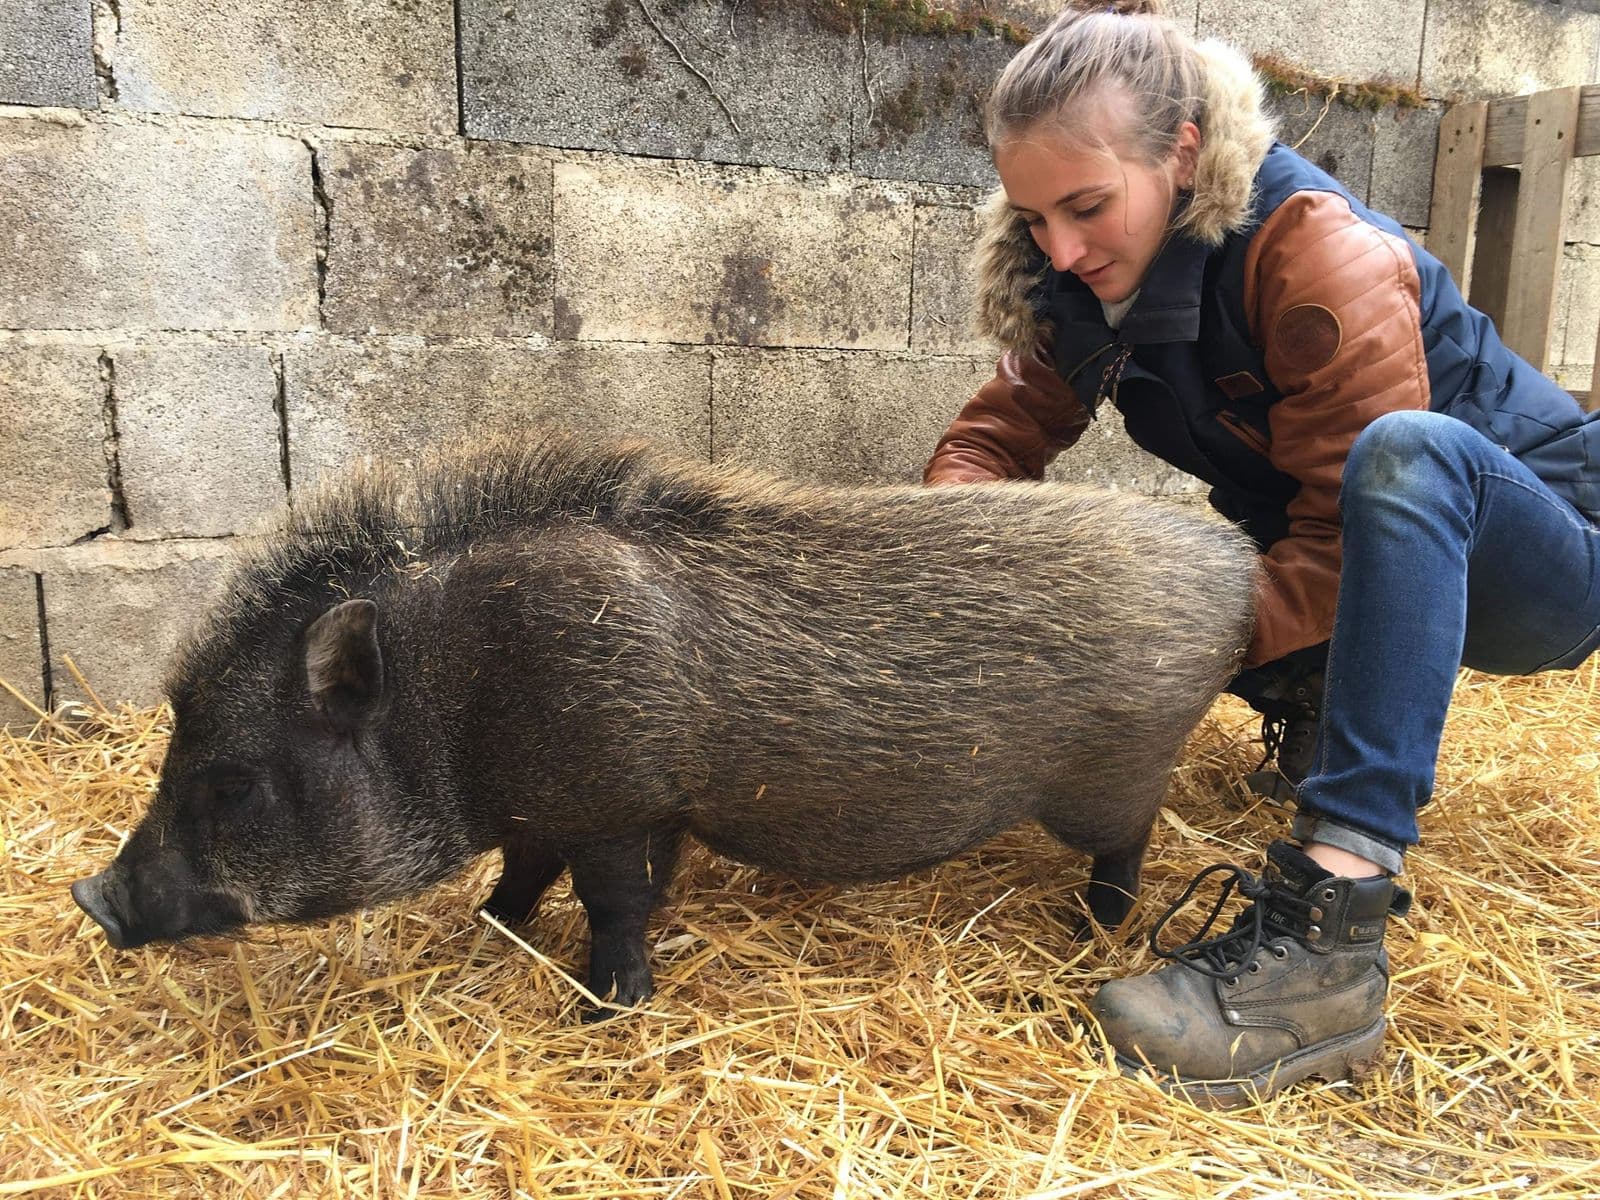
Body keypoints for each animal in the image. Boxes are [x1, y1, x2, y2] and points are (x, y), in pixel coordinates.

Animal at [72, 431, 1255, 1018]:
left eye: (231, 780)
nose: (91, 897)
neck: (455, 692)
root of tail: (1231, 561)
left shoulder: (610, 800)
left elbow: (613, 903)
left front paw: (607, 1009)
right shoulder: (558, 808)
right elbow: (527, 876)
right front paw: (489, 930)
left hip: (1116, 772)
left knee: (1130, 846)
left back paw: (1092, 929)